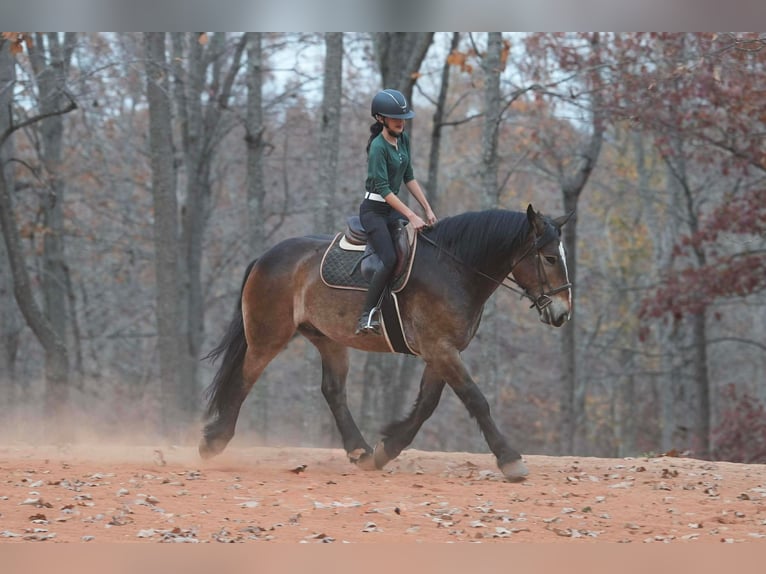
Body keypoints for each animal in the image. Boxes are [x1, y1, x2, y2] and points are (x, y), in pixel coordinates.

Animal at [199, 204, 572, 481]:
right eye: (550, 258)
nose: (562, 313)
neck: (453, 268)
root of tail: (266, 257)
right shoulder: (441, 349)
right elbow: (476, 400)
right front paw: (510, 459)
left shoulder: (441, 351)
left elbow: (426, 405)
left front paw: (386, 449)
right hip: (268, 336)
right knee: (245, 378)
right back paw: (214, 441)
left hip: (328, 339)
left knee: (333, 391)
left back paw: (360, 449)